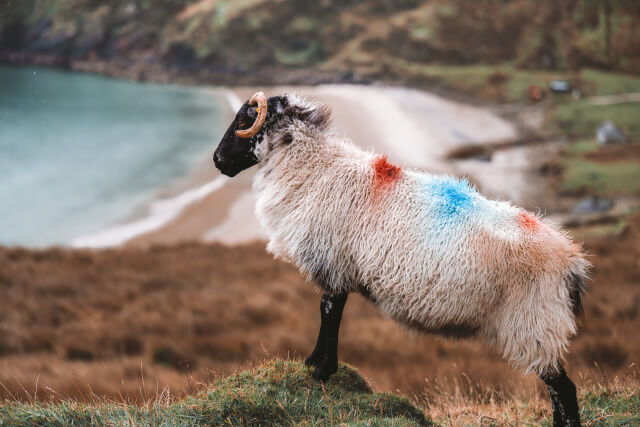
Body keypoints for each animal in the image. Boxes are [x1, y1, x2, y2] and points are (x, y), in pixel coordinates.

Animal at [214, 92, 592, 426]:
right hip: (539, 325)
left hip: (534, 323)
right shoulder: (339, 267)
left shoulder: (334, 263)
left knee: (564, 390)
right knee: (558, 390)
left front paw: (321, 371)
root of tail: (572, 262)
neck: (316, 169)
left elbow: (329, 311)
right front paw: (315, 364)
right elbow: (330, 311)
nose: (217, 161)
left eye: (244, 120)